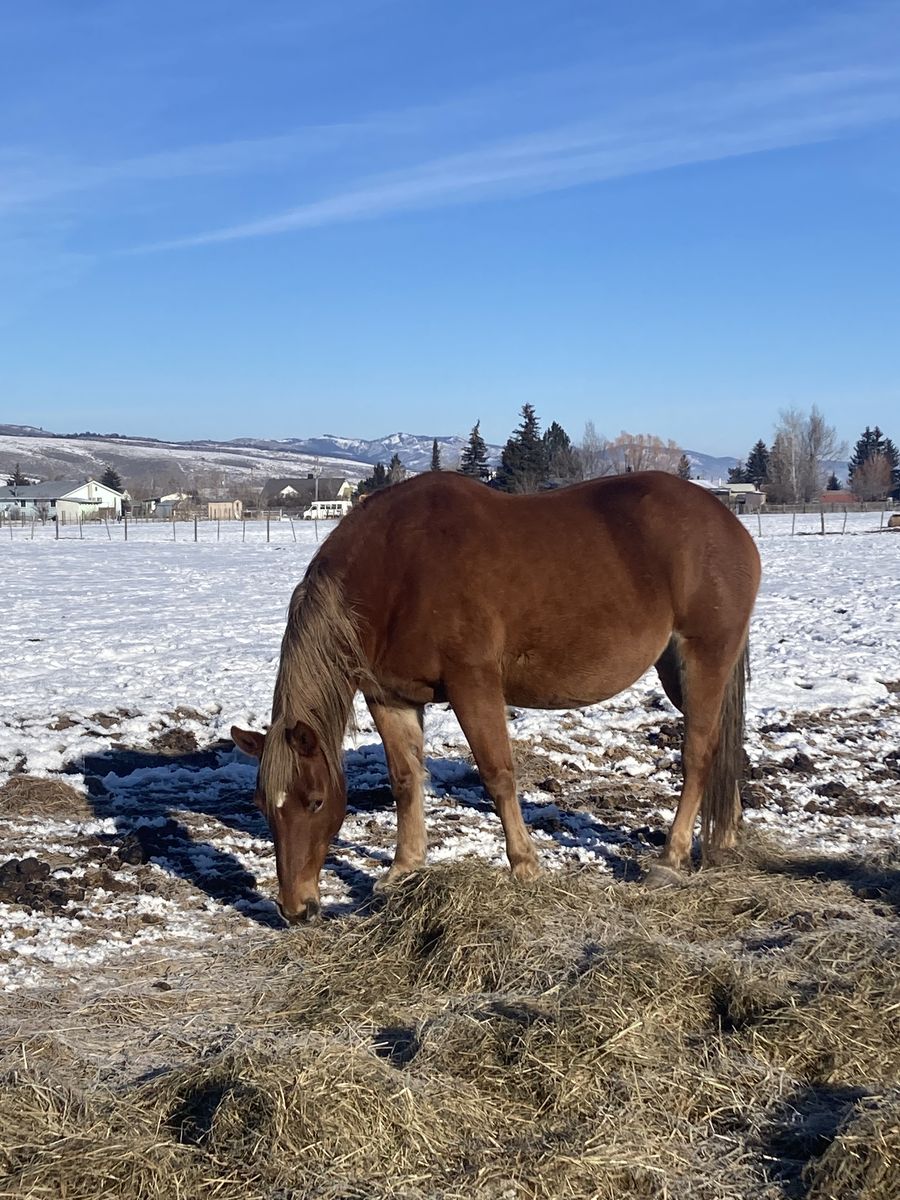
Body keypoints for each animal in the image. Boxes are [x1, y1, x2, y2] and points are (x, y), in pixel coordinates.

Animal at [232, 470, 761, 923]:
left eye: (316, 801)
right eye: (263, 806)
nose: (295, 909)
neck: (396, 569)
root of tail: (729, 523)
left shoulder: (473, 684)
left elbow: (498, 774)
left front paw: (525, 865)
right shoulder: (390, 696)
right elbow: (405, 779)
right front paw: (403, 869)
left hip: (705, 657)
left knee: (698, 752)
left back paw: (671, 858)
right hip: (678, 670)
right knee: (723, 745)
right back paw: (727, 837)